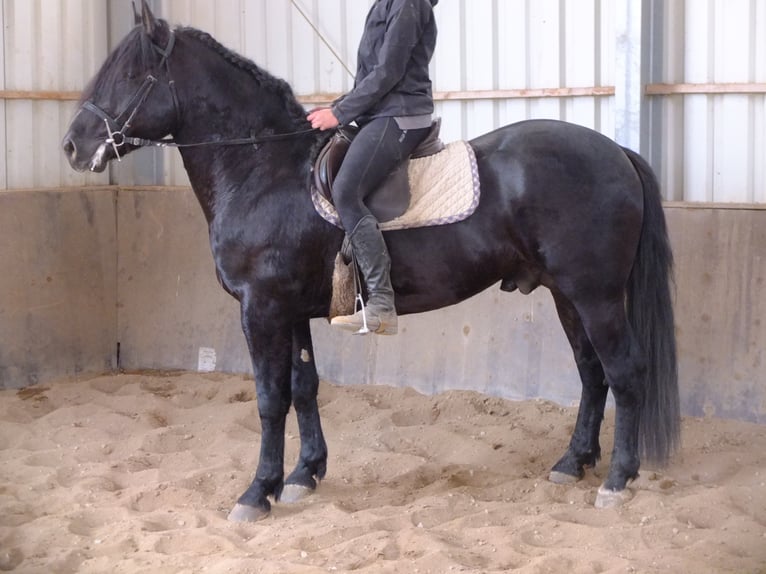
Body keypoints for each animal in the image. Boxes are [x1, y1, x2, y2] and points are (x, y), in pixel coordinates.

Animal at [63, 1, 680, 520]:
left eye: (130, 77)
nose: (71, 146)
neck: (263, 168)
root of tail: (616, 151)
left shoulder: (261, 309)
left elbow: (270, 398)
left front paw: (256, 493)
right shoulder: (290, 311)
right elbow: (303, 387)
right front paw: (303, 476)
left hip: (596, 294)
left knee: (625, 372)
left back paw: (617, 480)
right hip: (566, 293)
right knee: (592, 373)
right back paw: (572, 463)